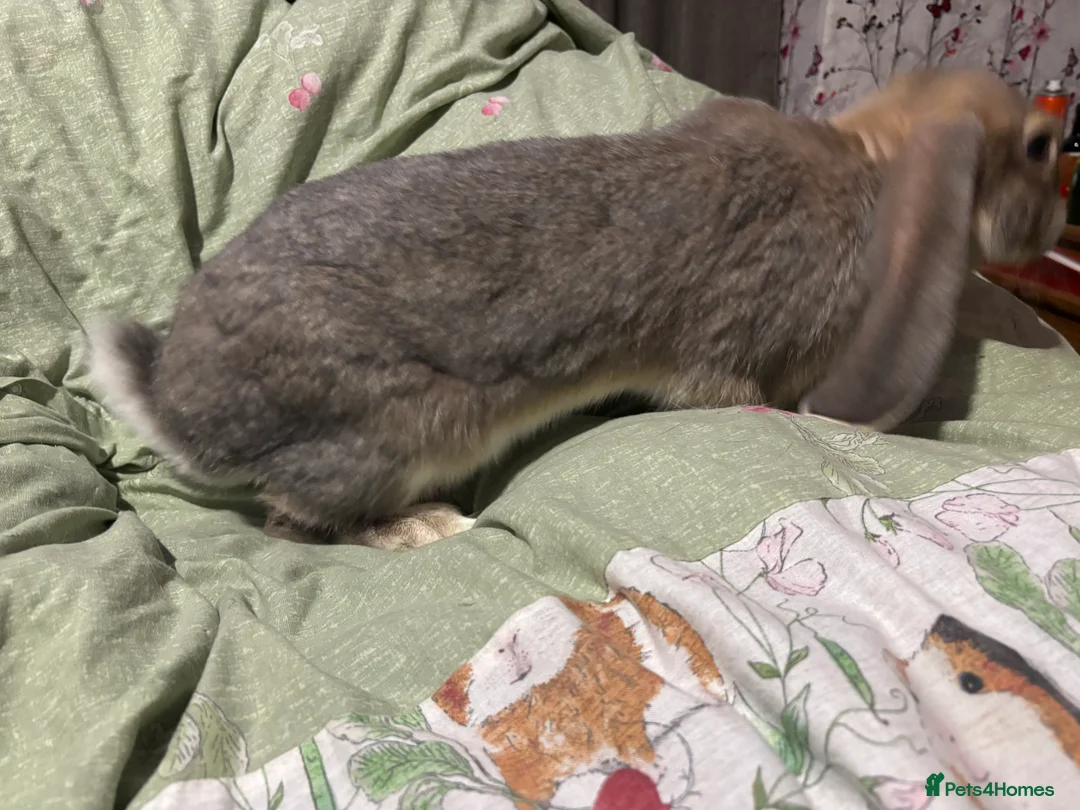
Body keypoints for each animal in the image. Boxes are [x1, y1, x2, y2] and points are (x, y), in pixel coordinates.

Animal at [88, 68, 1065, 549]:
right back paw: (427, 528)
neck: (872, 156)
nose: (1057, 223)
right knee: (296, 520)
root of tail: (184, 408)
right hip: (402, 431)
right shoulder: (742, 358)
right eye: (1041, 146)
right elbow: (738, 390)